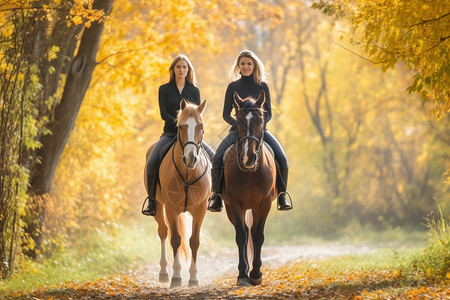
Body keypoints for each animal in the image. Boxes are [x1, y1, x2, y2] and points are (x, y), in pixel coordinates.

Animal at [145, 99, 214, 288]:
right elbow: (175, 239)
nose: (190, 159)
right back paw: (163, 273)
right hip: (159, 205)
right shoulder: (171, 208)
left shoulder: (200, 209)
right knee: (163, 232)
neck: (188, 172)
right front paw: (176, 277)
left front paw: (194, 278)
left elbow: (194, 241)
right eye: (181, 126)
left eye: (201, 126)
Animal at [222, 91, 276, 286]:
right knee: (245, 232)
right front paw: (243, 274)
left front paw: (256, 274)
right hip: (231, 208)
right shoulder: (236, 204)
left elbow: (258, 236)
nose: (247, 158)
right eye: (238, 121)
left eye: (260, 120)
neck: (250, 173)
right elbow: (241, 236)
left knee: (251, 232)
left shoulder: (265, 204)